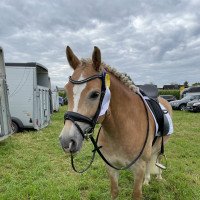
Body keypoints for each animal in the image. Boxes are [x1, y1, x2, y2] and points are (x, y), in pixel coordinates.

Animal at [59, 46, 172, 199]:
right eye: (66, 91)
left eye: (95, 94)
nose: (67, 141)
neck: (123, 129)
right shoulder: (111, 167)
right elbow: (114, 192)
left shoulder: (139, 169)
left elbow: (136, 193)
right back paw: (147, 180)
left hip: (161, 145)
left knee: (157, 158)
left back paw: (158, 177)